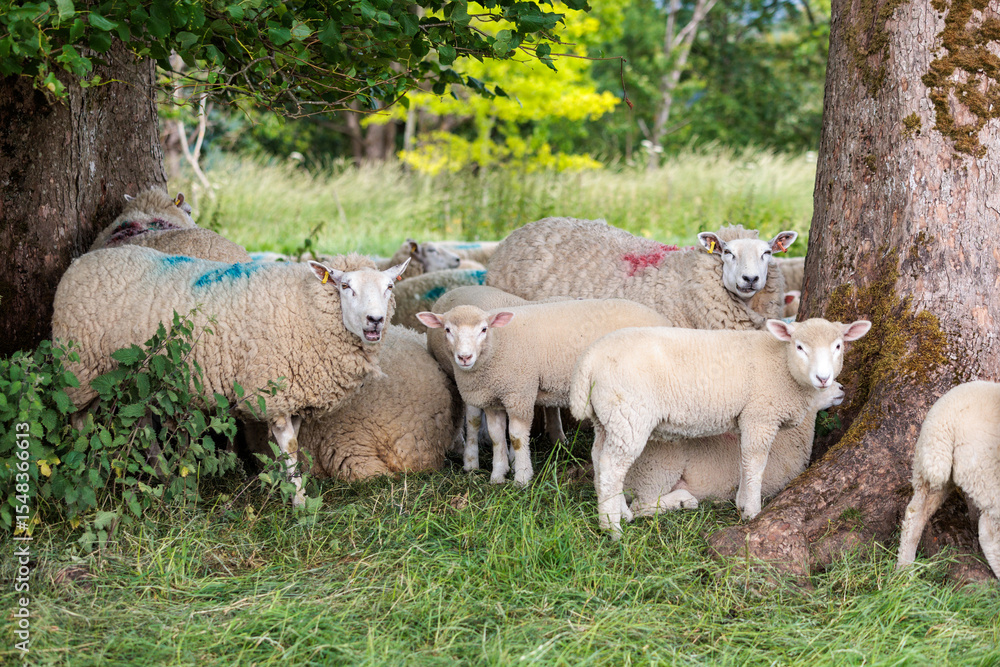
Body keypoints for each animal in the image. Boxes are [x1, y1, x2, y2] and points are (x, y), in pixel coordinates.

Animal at [52, 246, 410, 506]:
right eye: (346, 286)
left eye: (390, 287)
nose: (375, 320)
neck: (307, 307)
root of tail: (83, 259)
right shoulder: (273, 392)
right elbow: (290, 447)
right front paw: (298, 501)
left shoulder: (293, 396)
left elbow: (289, 447)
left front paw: (284, 486)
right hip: (80, 368)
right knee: (78, 421)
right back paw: (85, 469)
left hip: (141, 377)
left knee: (140, 423)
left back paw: (161, 472)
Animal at [416, 299, 672, 486]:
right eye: (447, 330)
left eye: (483, 329)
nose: (464, 357)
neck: (497, 344)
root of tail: (664, 320)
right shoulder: (493, 399)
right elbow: (498, 437)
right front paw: (498, 475)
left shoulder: (519, 393)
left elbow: (517, 437)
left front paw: (522, 477)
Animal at [896, 381, 1000, 578]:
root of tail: (946, 420)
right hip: (987, 471)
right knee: (989, 532)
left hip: (930, 469)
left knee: (915, 513)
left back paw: (904, 571)